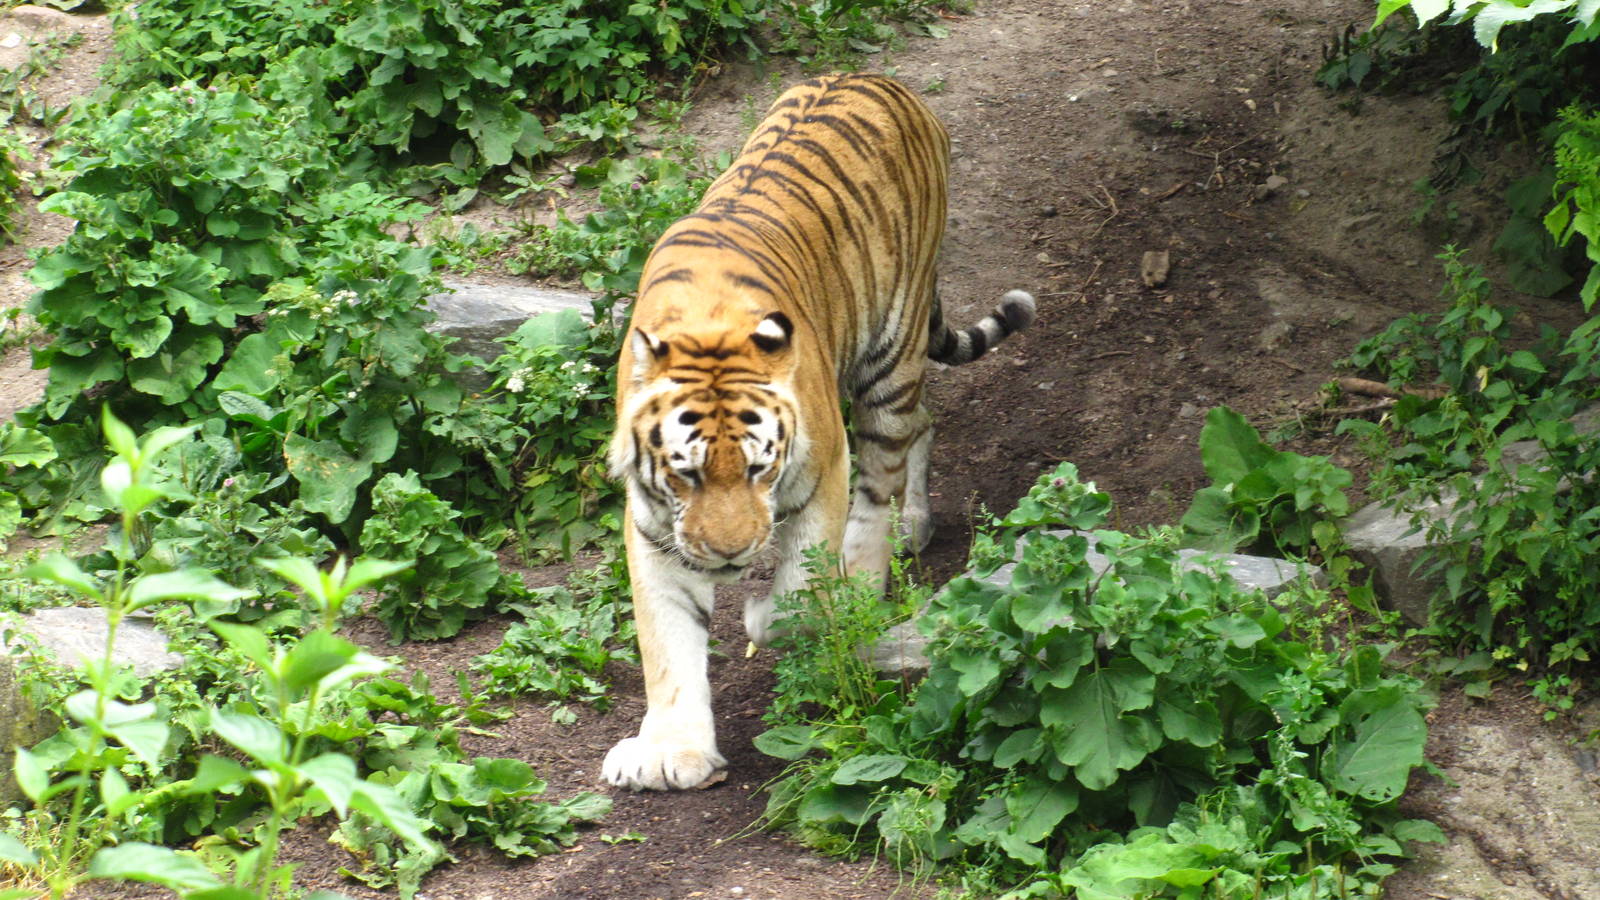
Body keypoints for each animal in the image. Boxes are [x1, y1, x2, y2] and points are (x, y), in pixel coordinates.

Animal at [603, 73, 1036, 791]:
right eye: (686, 472)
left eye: (758, 468)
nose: (729, 557)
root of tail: (881, 80)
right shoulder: (654, 523)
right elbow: (666, 636)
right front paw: (674, 750)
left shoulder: (820, 471)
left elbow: (799, 597)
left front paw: (768, 615)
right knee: (923, 423)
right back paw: (913, 526)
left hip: (889, 358)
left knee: (880, 483)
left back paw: (863, 579)